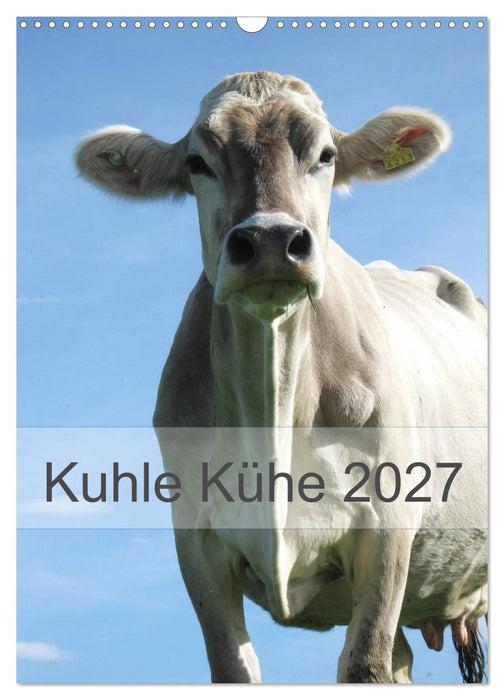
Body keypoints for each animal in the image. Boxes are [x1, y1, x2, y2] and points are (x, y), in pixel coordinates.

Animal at [75, 71, 487, 684]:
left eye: (327, 155)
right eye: (197, 161)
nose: (271, 241)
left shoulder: (388, 525)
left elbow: (365, 664)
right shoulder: (196, 538)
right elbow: (236, 666)